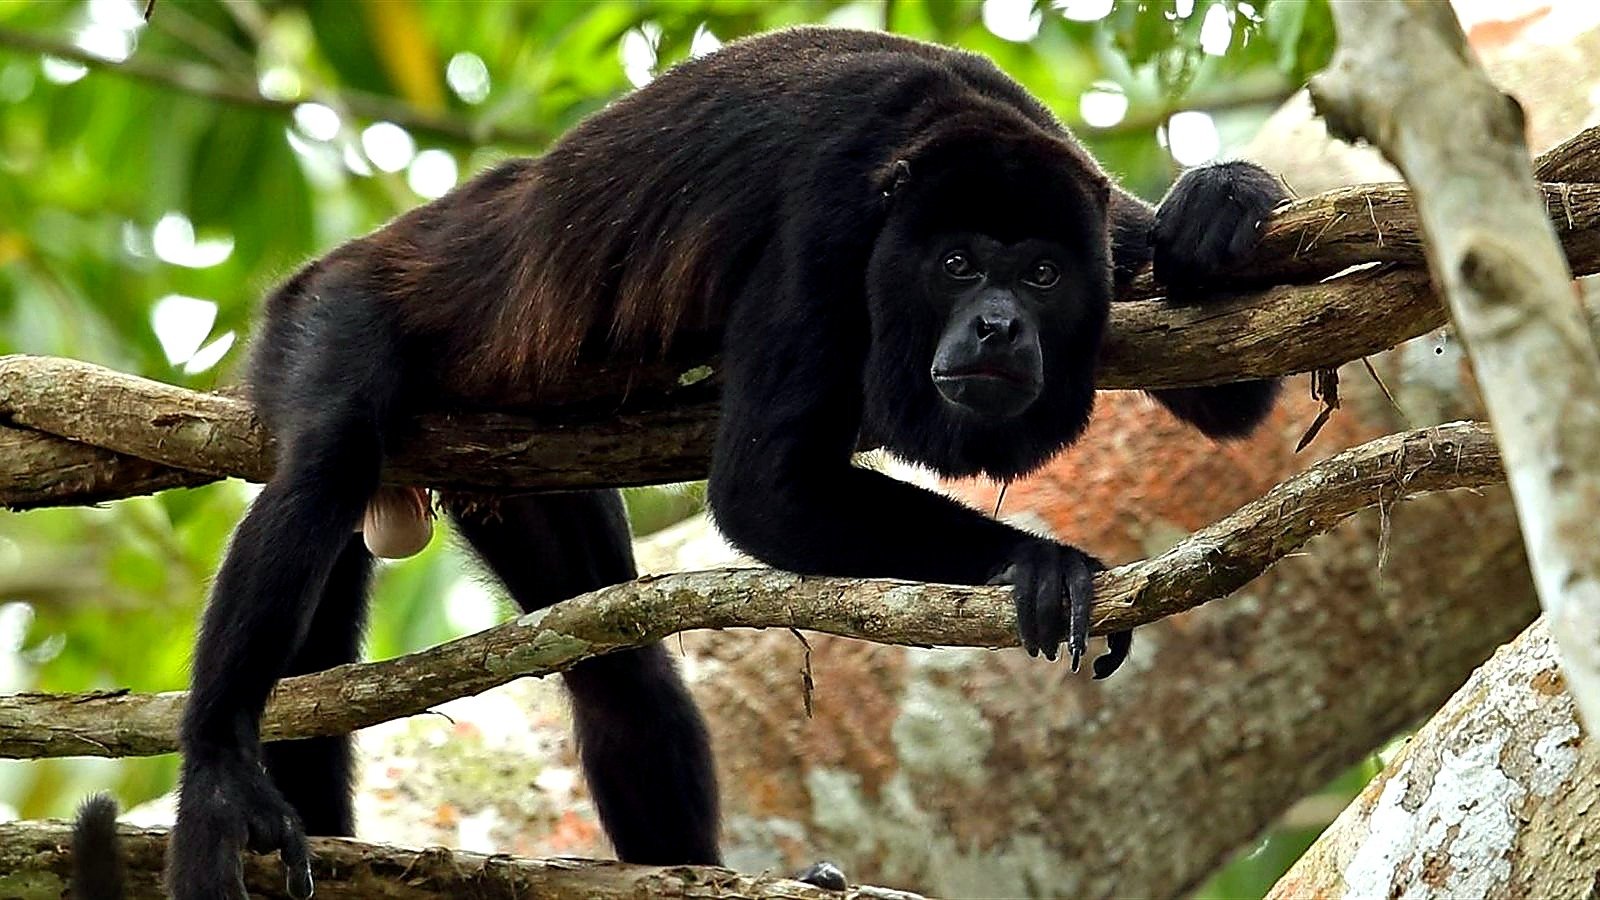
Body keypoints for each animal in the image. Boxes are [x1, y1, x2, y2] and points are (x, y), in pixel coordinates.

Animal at [105, 26, 1288, 899]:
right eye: (956, 265)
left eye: (1041, 274)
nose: (998, 326)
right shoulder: (830, 224)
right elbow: (762, 492)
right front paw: (1042, 565)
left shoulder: (1080, 198)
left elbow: (1228, 390)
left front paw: (1220, 203)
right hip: (325, 311)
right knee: (321, 467)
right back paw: (218, 766)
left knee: (620, 668)